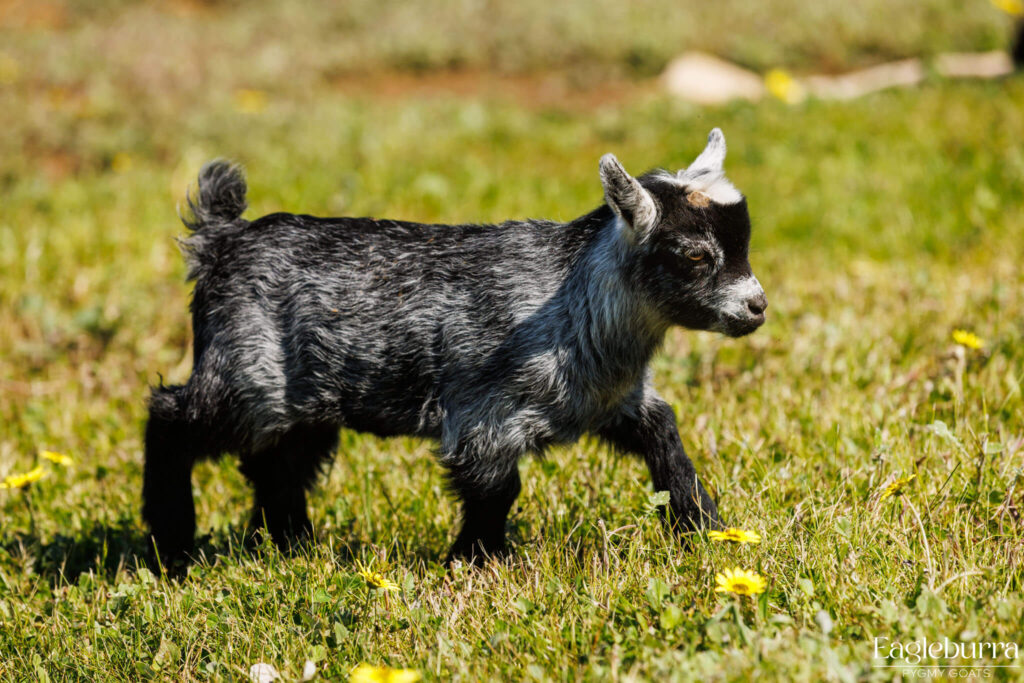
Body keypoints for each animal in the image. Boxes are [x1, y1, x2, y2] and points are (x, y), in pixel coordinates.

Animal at [142, 128, 767, 566]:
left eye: (744, 242)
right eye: (694, 254)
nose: (757, 305)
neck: (573, 299)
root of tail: (221, 241)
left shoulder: (612, 401)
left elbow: (666, 436)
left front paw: (705, 529)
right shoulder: (484, 416)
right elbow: (498, 486)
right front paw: (471, 561)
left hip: (306, 402)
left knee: (277, 464)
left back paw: (290, 547)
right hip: (248, 374)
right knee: (172, 417)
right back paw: (172, 542)